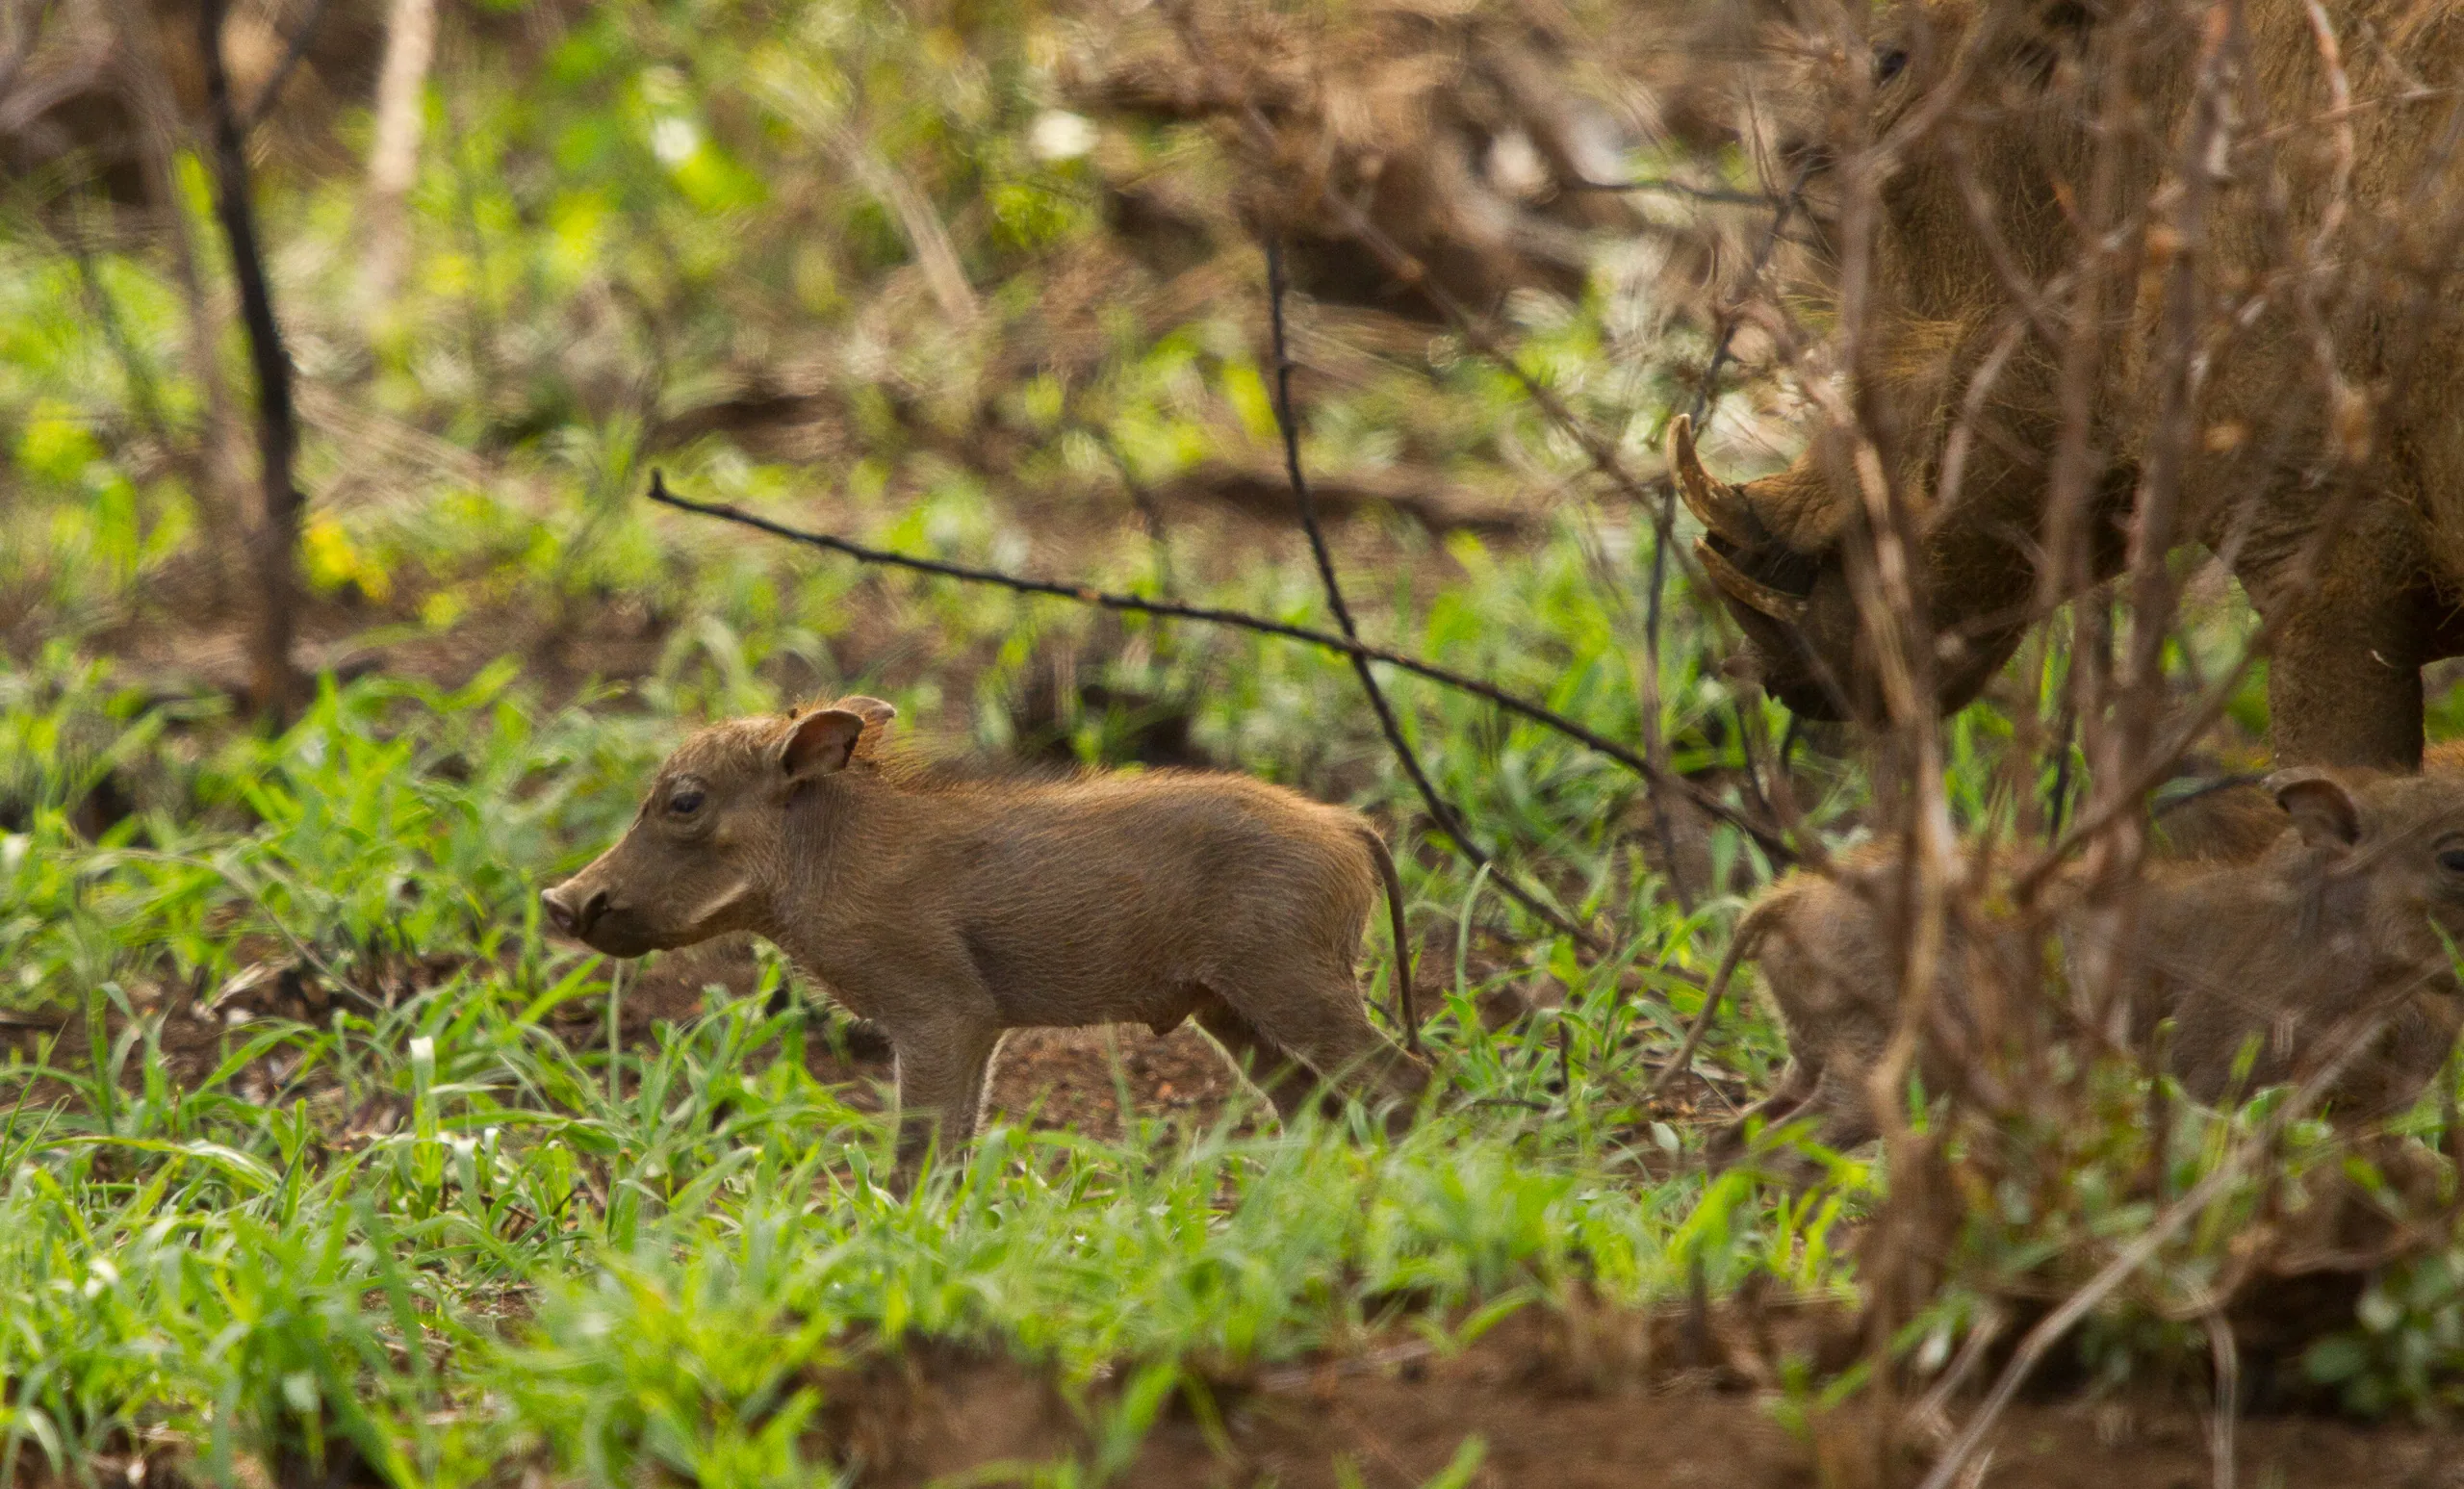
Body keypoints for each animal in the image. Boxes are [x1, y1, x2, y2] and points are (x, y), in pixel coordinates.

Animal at [540, 697, 1428, 1180]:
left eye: (684, 801)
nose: (557, 900)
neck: (825, 858)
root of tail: (1348, 824)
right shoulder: (973, 1028)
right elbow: (952, 1153)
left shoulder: (939, 1014)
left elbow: (919, 1156)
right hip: (1233, 1010)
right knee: (1315, 1109)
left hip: (1294, 983)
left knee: (1403, 1081)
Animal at [1711, 767, 2464, 1159]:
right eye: (2455, 854)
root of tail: (1784, 898)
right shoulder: (2207, 1068)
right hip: (1877, 1066)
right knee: (1784, 1149)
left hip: (1811, 1055)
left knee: (1731, 1143)